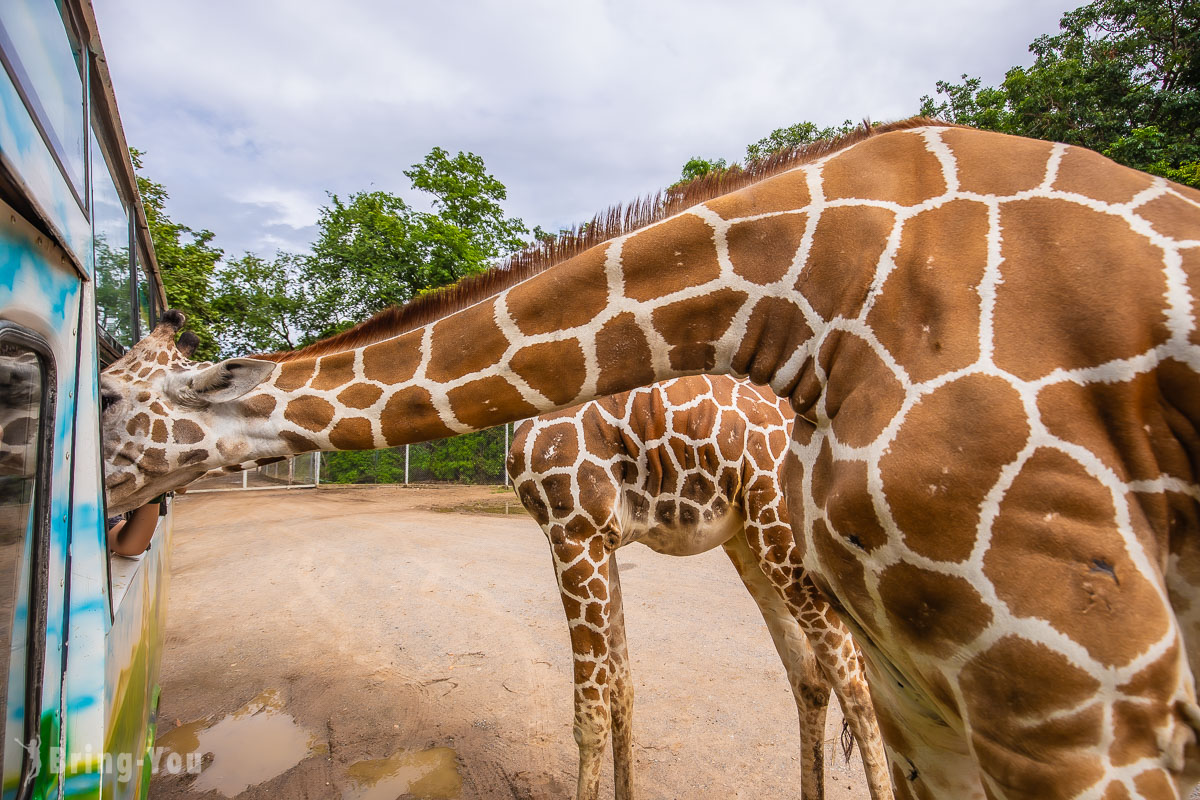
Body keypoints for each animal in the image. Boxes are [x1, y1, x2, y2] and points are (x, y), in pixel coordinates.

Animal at [506, 376, 892, 800]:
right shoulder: (605, 542)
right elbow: (622, 691)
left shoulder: (573, 530)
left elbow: (590, 719)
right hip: (753, 542)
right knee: (810, 678)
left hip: (785, 536)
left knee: (856, 688)